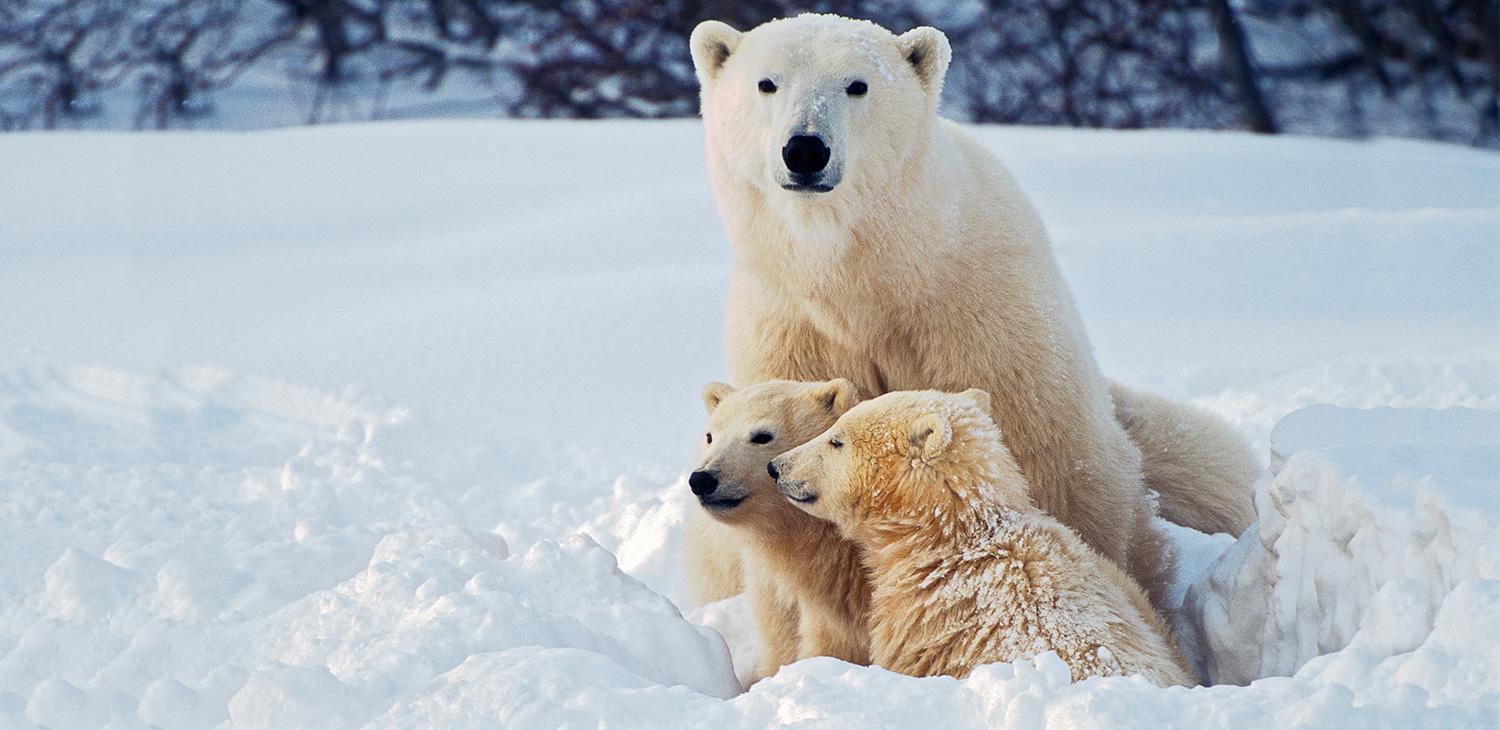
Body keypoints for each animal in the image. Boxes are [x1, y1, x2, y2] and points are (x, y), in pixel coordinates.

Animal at [687, 15, 1260, 611]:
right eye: (767, 83)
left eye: (856, 85)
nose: (804, 149)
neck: (867, 277)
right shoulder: (789, 327)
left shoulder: (976, 311)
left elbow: (1047, 456)